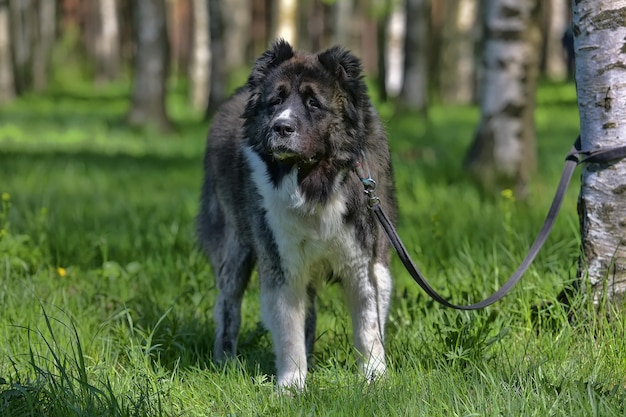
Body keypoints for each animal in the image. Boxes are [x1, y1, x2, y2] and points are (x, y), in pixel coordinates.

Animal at [197, 40, 398, 388]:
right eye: (276, 101)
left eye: (313, 103)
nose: (281, 127)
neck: (315, 181)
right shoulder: (281, 260)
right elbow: (288, 327)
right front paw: (292, 384)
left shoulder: (366, 261)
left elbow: (368, 324)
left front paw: (374, 377)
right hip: (235, 247)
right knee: (228, 304)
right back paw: (225, 362)